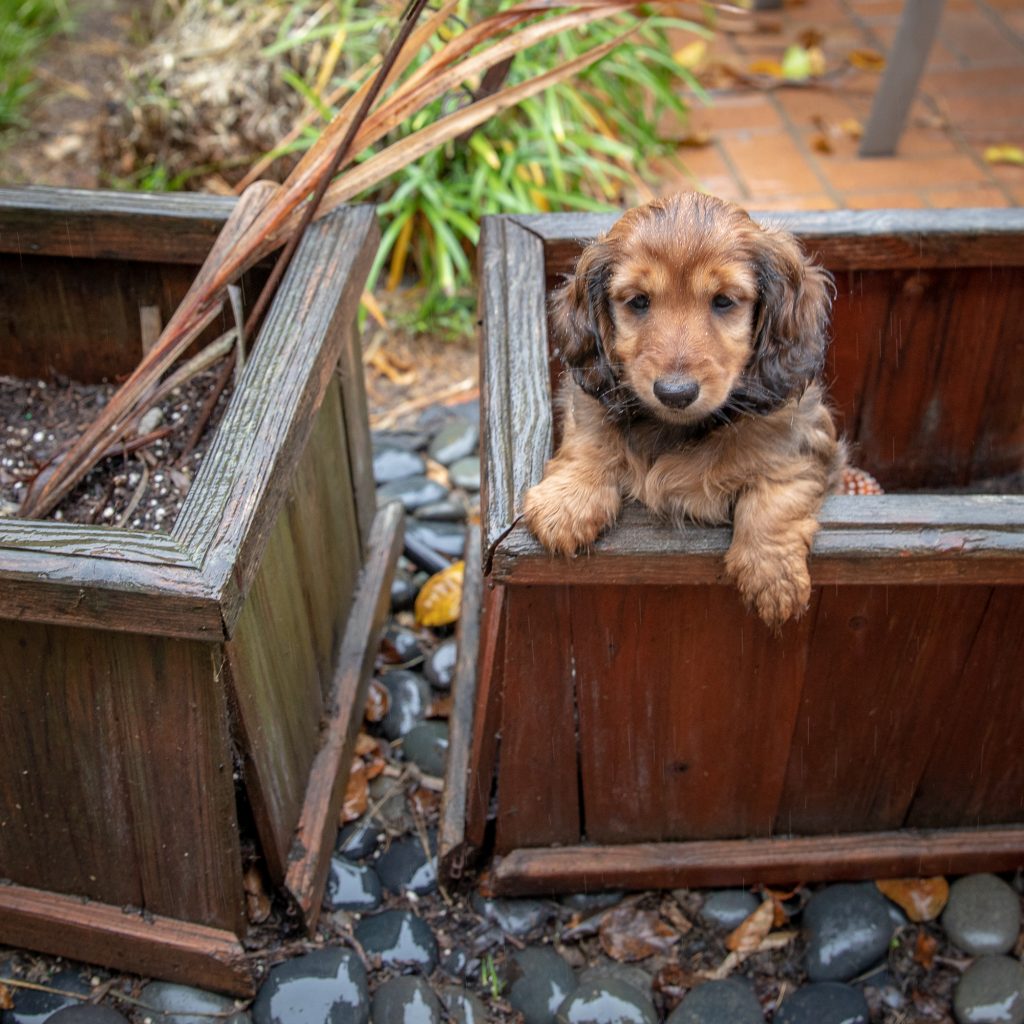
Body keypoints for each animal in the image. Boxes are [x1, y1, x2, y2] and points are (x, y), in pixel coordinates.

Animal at [524, 189, 843, 626]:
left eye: (723, 301)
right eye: (639, 301)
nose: (675, 393)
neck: (676, 427)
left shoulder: (803, 438)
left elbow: (779, 490)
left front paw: (772, 572)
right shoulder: (590, 402)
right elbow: (591, 438)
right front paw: (567, 502)